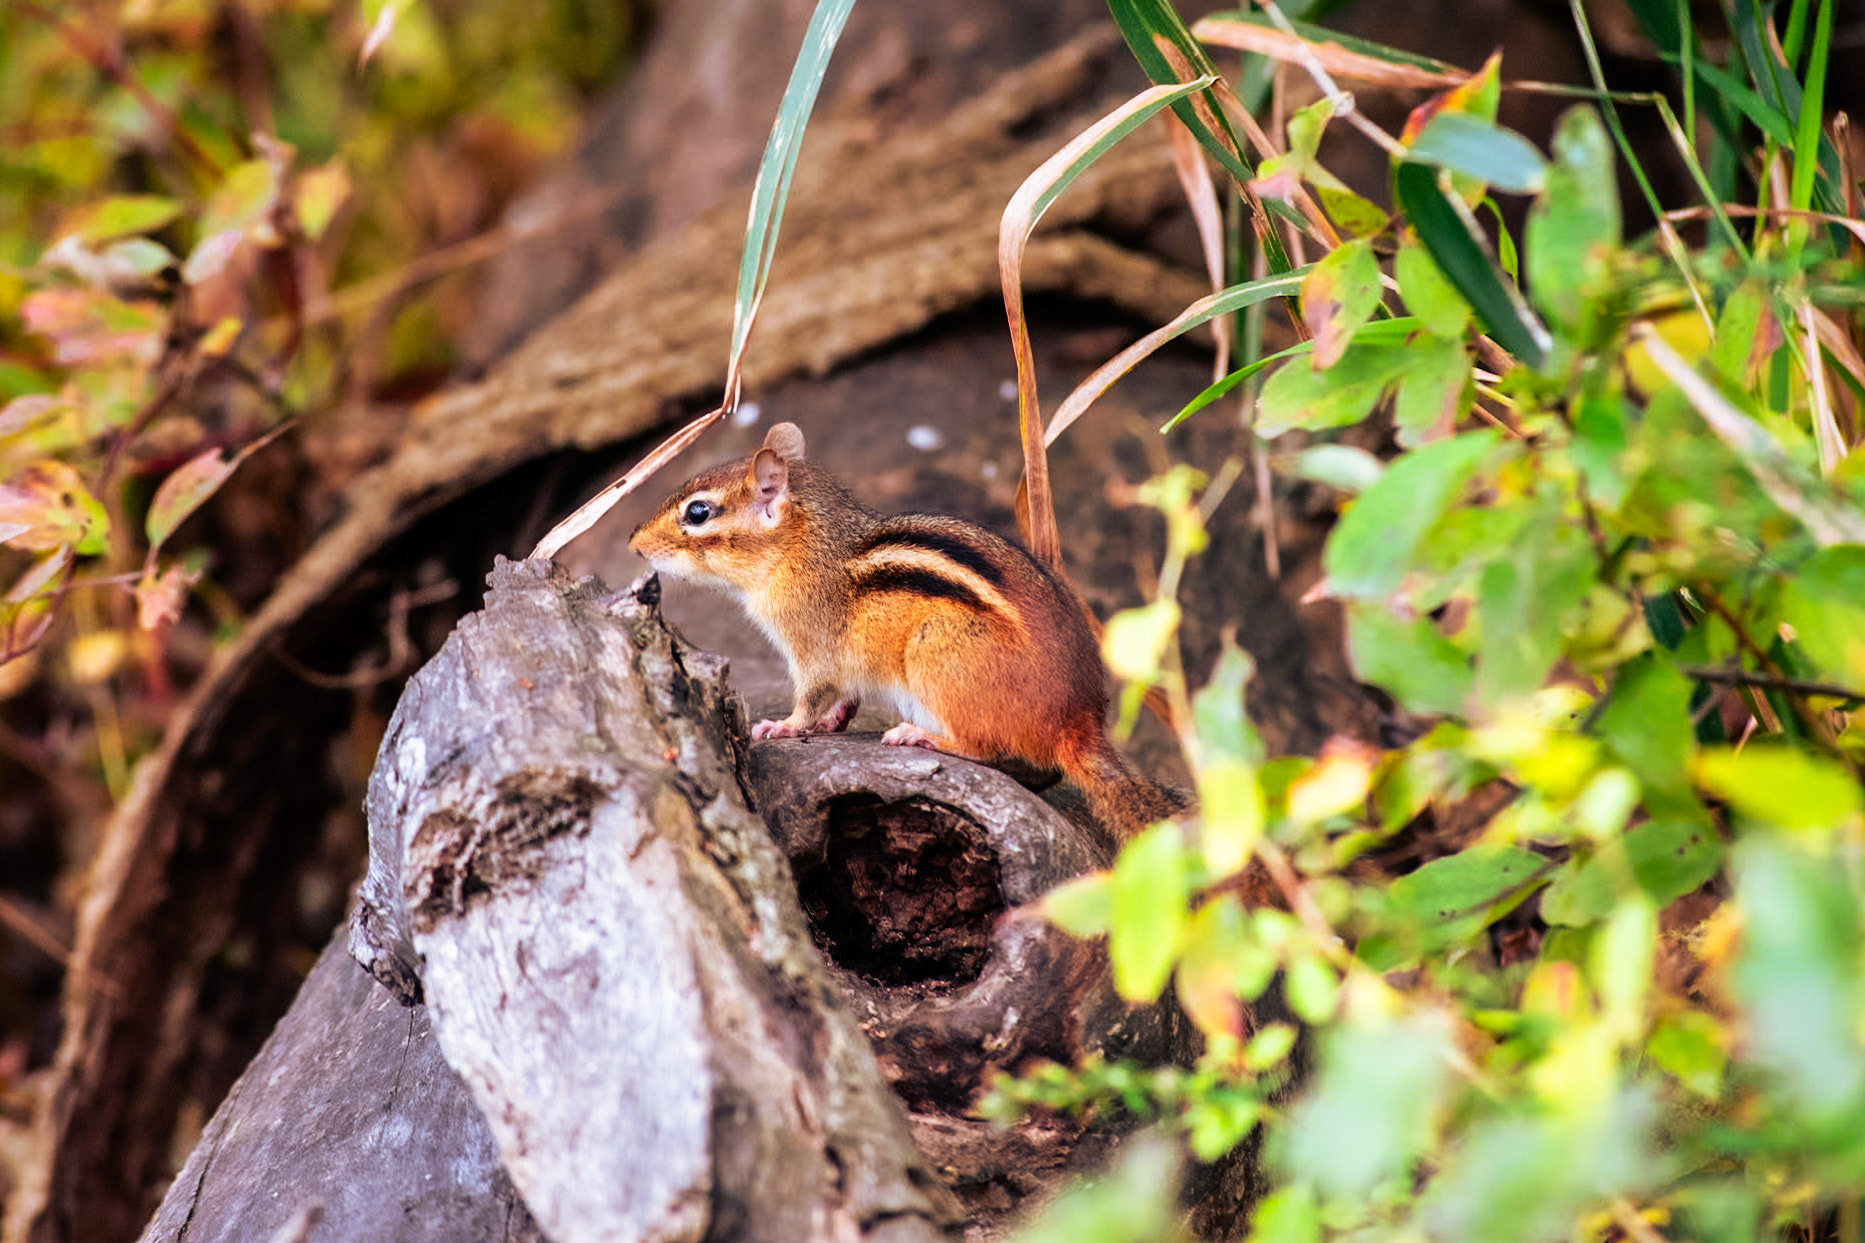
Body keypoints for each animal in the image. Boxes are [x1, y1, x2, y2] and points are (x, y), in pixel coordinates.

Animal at [629, 422, 1184, 839]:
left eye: (698, 512)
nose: (634, 542)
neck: (805, 548)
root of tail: (1077, 723)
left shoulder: (812, 649)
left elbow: (812, 696)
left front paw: (783, 727)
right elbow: (845, 698)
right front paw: (833, 723)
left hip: (937, 653)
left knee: (985, 748)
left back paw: (921, 736)